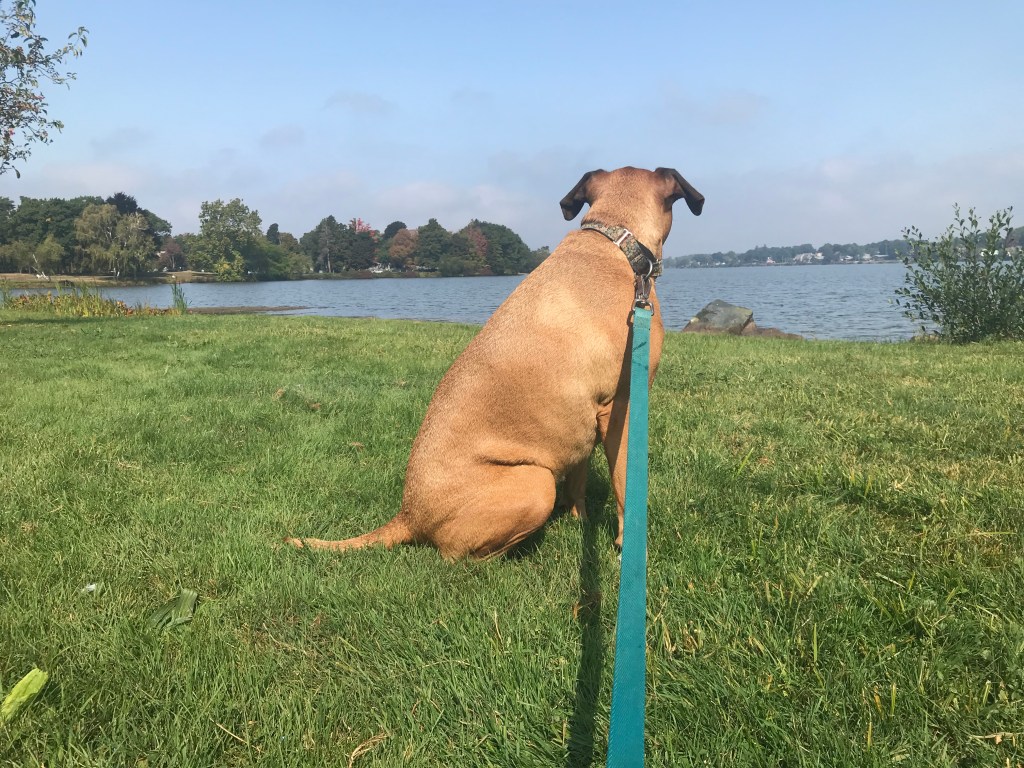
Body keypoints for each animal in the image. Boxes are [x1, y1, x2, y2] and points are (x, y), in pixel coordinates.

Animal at [287, 167, 703, 558]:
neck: (616, 240)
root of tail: (408, 515)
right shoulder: (622, 409)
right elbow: (625, 486)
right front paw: (626, 544)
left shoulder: (585, 422)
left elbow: (579, 480)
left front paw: (578, 520)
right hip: (535, 482)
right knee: (457, 555)